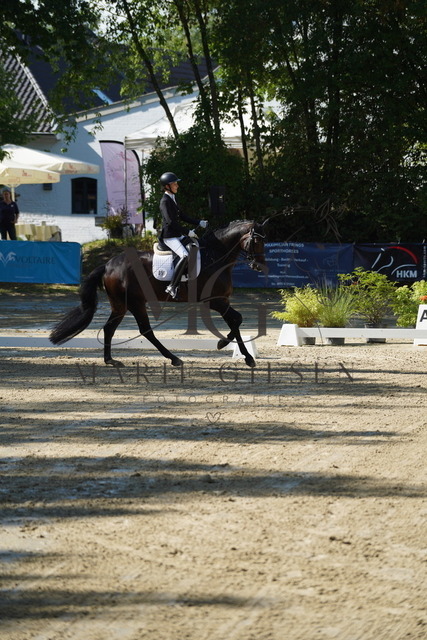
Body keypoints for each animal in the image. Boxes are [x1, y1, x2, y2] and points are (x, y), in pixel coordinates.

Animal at [49, 220, 267, 368]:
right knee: (145, 330)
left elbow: (237, 320)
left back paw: (111, 360)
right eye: (256, 241)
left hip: (121, 304)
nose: (259, 266)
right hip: (134, 303)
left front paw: (223, 343)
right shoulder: (214, 301)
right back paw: (174, 358)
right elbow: (235, 320)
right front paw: (246, 357)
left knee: (110, 328)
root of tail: (108, 265)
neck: (215, 257)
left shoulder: (222, 300)